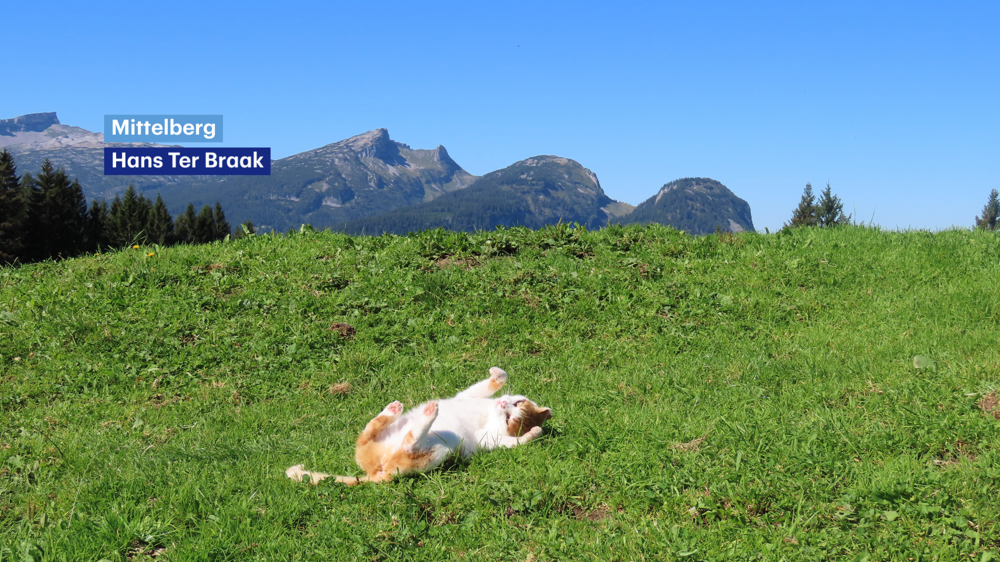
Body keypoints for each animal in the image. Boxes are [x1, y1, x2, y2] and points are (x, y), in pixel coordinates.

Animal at [286, 367, 552, 485]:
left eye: (509, 419)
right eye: (516, 403)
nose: (504, 403)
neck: (487, 415)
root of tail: (376, 473)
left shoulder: (488, 440)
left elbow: (514, 442)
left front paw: (534, 432)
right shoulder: (467, 397)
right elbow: (487, 385)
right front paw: (497, 374)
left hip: (438, 451)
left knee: (407, 445)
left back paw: (427, 415)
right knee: (368, 433)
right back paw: (394, 411)